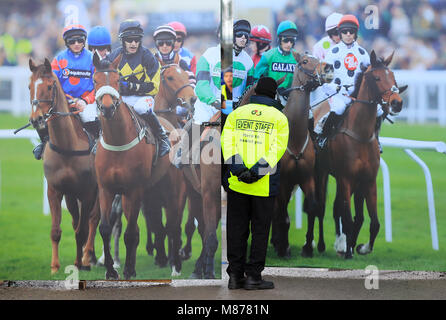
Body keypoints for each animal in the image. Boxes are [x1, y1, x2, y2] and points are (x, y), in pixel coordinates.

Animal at [28, 58, 99, 274]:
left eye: (50, 86)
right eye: (29, 87)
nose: (36, 119)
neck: (67, 146)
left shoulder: (87, 192)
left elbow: (82, 229)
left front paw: (80, 263)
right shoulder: (56, 190)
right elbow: (56, 230)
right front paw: (55, 266)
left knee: (93, 220)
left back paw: (87, 257)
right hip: (71, 195)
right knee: (78, 221)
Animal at [93, 53, 172, 278]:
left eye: (117, 80)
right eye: (95, 80)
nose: (107, 108)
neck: (118, 140)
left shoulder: (134, 189)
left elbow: (129, 233)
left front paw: (127, 269)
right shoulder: (106, 188)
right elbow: (105, 228)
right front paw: (111, 270)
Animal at [314, 50, 404, 260]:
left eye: (393, 76)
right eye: (377, 78)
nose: (397, 103)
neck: (360, 135)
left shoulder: (368, 180)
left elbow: (372, 221)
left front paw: (361, 246)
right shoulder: (346, 178)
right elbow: (348, 218)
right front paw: (349, 250)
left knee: (338, 208)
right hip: (321, 172)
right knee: (320, 207)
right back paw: (319, 244)